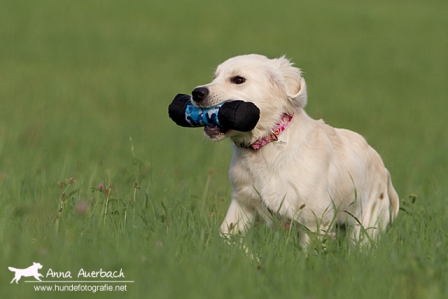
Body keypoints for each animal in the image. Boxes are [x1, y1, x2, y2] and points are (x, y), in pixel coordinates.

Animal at [192, 54, 400, 248]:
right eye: (214, 77)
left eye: (238, 79)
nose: (197, 93)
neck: (266, 145)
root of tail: (385, 171)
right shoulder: (243, 202)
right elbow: (227, 236)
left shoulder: (315, 219)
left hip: (364, 227)